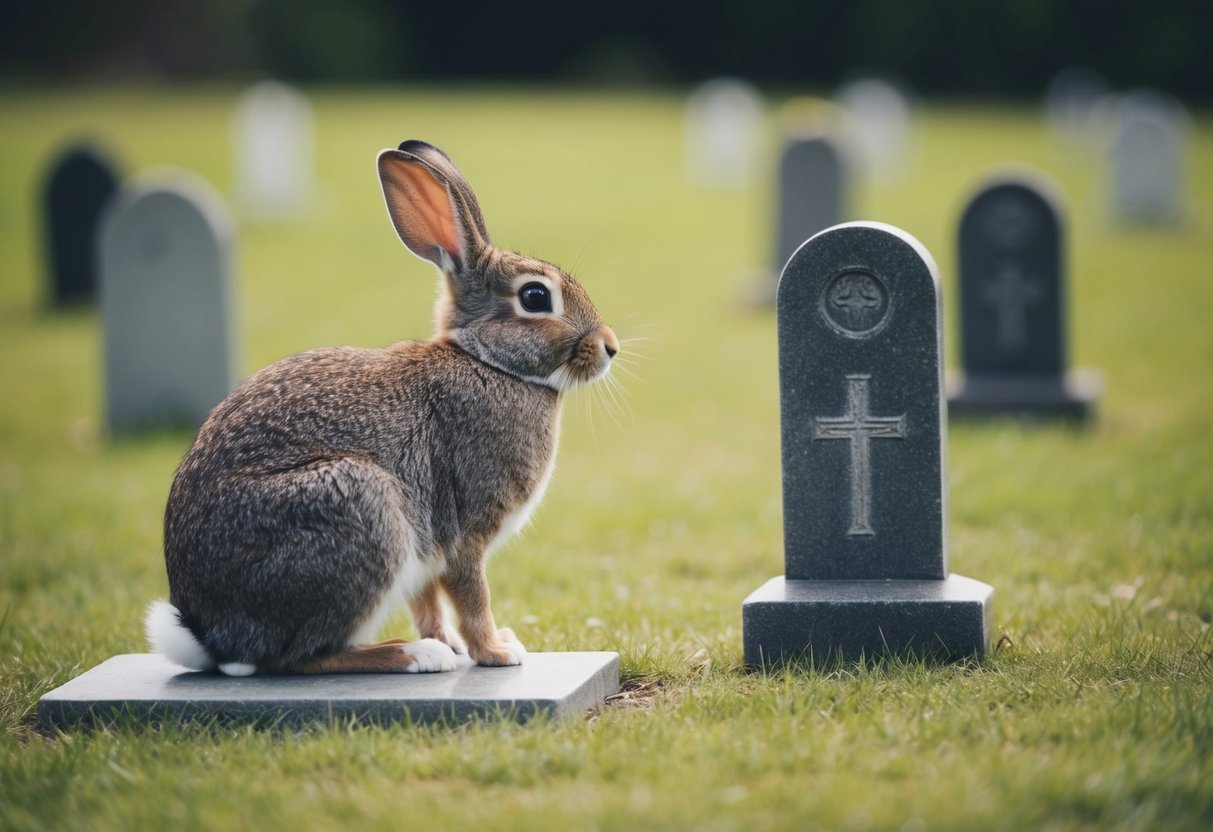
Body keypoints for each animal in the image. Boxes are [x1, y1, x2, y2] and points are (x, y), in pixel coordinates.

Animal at [145, 139, 618, 675]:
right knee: (300, 658)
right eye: (535, 297)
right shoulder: (464, 536)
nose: (610, 347)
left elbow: (429, 602)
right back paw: (410, 655)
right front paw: (496, 652)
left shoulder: (427, 550)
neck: (488, 362)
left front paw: (456, 647)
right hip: (360, 509)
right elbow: (473, 598)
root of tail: (213, 633)